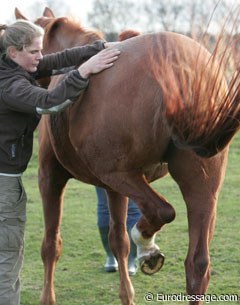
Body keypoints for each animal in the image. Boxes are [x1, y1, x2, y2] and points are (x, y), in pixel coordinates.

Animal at [15, 5, 240, 304]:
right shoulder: (113, 189)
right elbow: (117, 242)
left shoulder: (50, 178)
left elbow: (51, 245)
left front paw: (47, 297)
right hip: (200, 186)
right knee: (197, 264)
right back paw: (150, 248)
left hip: (123, 175)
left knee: (162, 211)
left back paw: (145, 243)